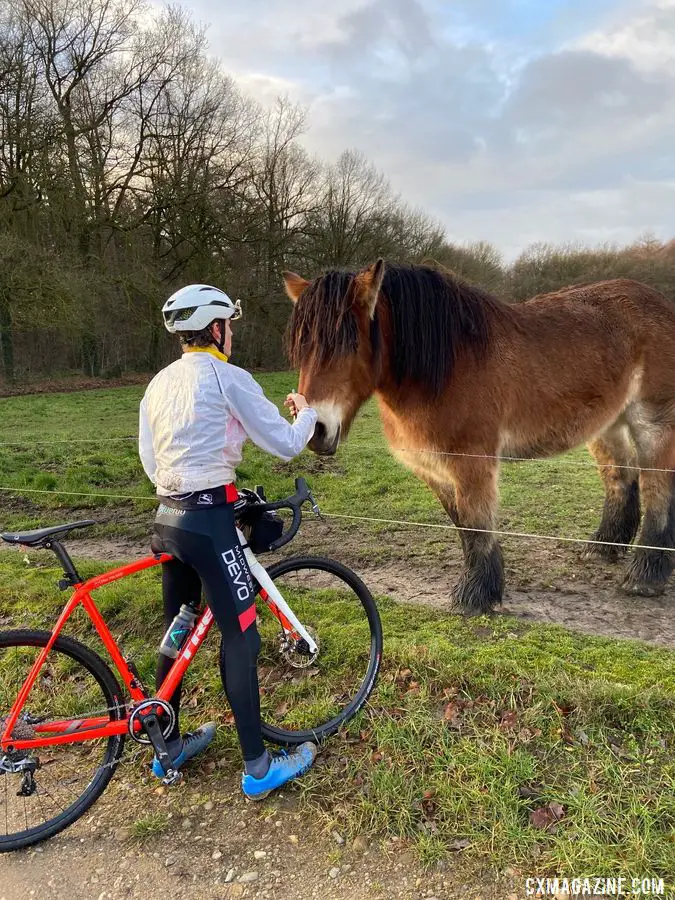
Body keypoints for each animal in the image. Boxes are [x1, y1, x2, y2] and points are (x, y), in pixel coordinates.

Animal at [282, 256, 675, 616]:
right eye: (301, 348)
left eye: (349, 344)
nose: (315, 430)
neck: (446, 367)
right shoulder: (434, 469)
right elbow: (463, 525)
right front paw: (483, 587)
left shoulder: (471, 461)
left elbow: (476, 521)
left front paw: (475, 597)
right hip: (607, 425)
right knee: (620, 476)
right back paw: (604, 547)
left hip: (653, 422)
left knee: (657, 487)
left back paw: (645, 576)